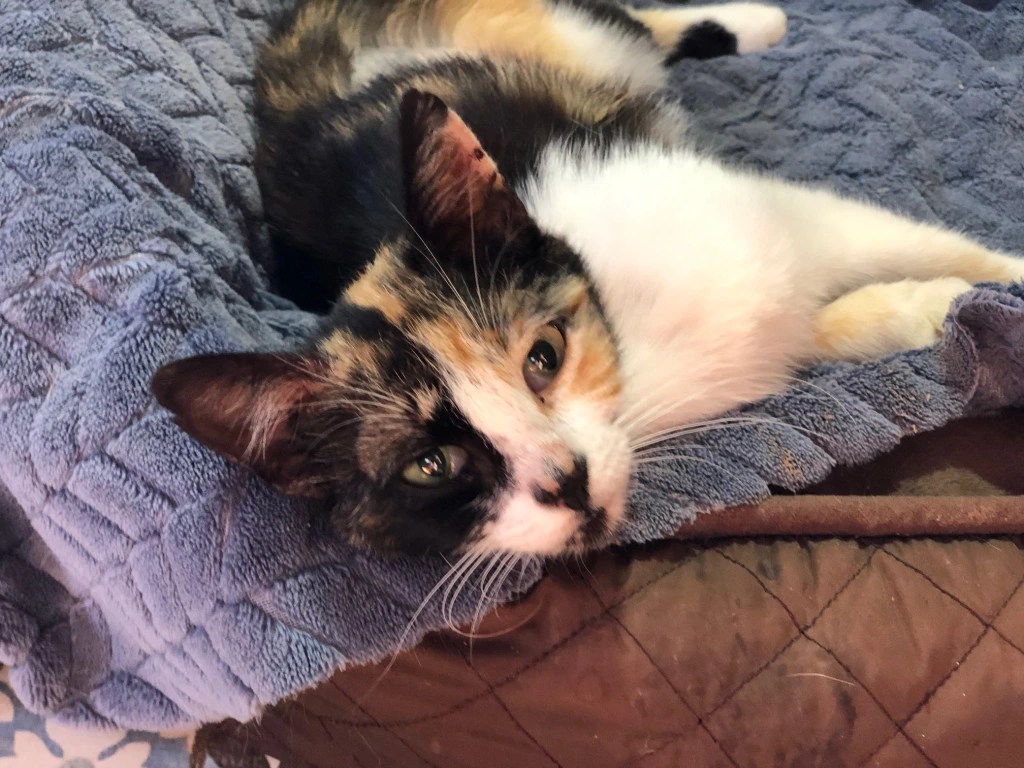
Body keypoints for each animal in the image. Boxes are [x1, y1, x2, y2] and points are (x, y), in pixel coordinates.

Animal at [151, 0, 1024, 557]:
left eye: (543, 356)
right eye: (430, 467)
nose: (564, 483)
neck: (633, 358)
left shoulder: (761, 217)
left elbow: (901, 243)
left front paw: (1000, 279)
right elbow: (835, 318)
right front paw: (932, 310)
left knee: (626, 23)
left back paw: (761, 20)